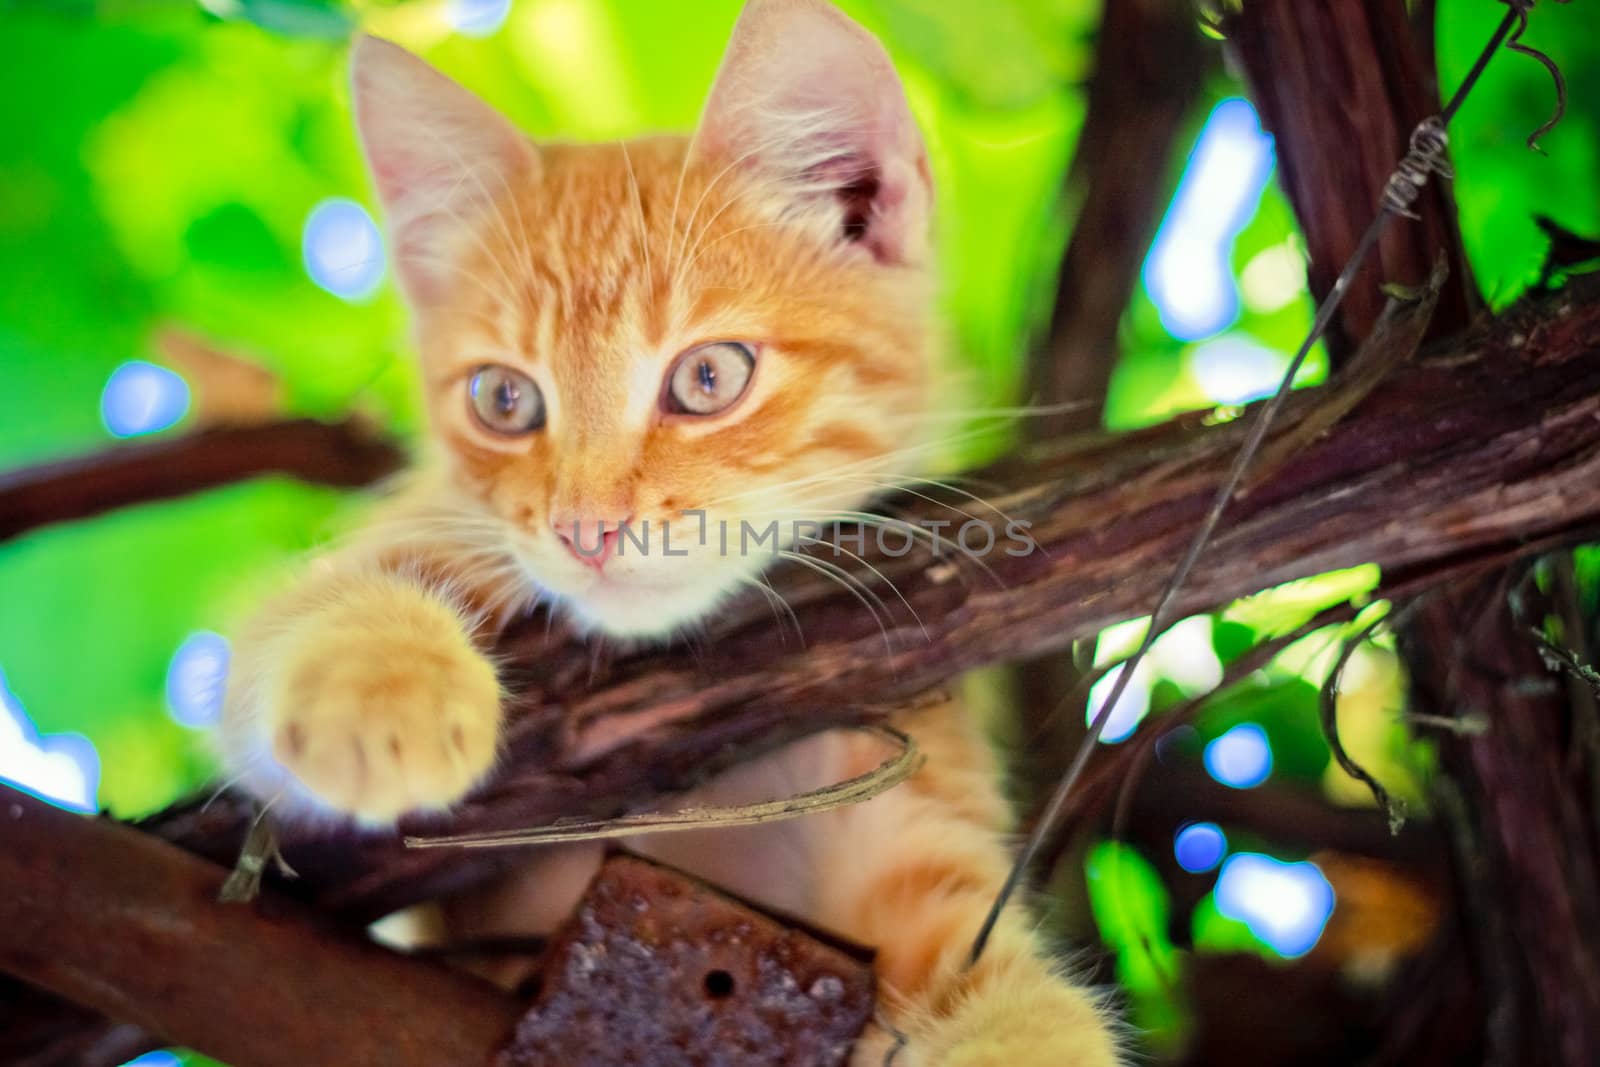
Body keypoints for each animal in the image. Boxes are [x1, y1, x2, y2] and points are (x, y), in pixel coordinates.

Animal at [219, 4, 1120, 1062]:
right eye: (504, 399)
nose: (587, 530)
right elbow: (305, 616)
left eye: (708, 378)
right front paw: (381, 693)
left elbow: (1018, 1011)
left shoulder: (910, 841)